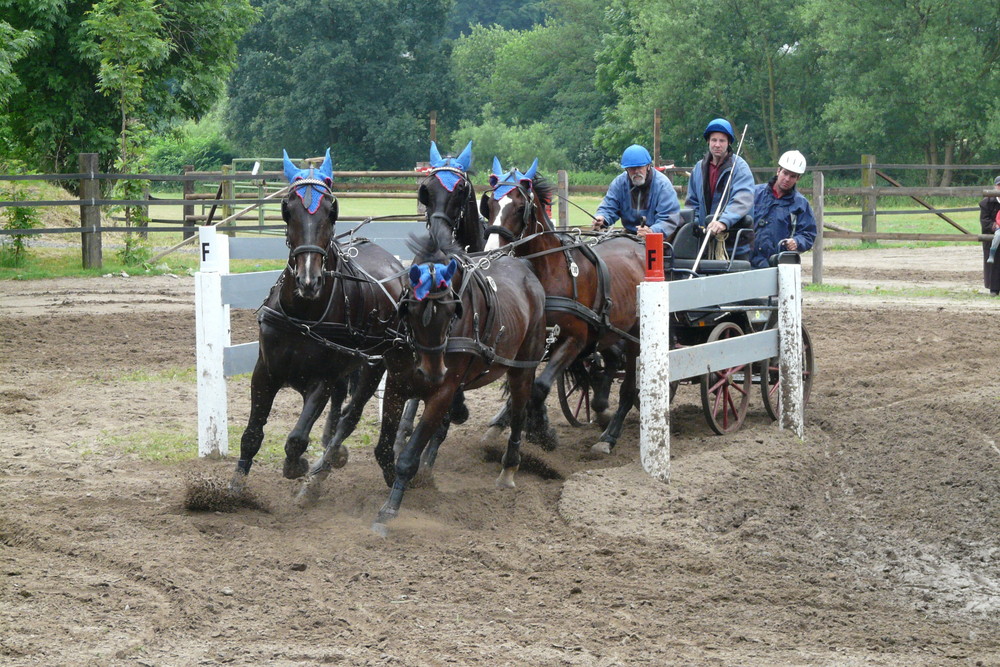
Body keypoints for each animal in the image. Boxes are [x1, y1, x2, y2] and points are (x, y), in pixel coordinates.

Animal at [232, 150, 408, 496]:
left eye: (331, 210)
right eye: (287, 210)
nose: (309, 280)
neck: (303, 315)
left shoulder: (320, 381)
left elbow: (297, 439)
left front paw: (297, 465)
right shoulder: (265, 373)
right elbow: (252, 435)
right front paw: (232, 487)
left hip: (374, 363)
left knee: (350, 415)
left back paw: (328, 459)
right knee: (341, 403)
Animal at [374, 227, 548, 536]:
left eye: (452, 311)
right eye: (410, 309)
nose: (432, 372)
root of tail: (525, 267)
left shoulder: (442, 392)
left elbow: (408, 456)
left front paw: (390, 509)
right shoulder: (397, 383)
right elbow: (384, 447)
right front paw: (394, 476)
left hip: (523, 367)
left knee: (518, 412)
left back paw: (508, 469)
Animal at [484, 159, 648, 456]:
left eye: (519, 207)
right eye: (489, 205)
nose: (492, 252)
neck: (551, 270)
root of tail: (638, 242)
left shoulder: (574, 339)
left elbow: (538, 387)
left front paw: (542, 432)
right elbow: (522, 388)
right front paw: (514, 422)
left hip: (635, 336)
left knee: (629, 387)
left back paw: (609, 435)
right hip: (607, 331)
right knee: (611, 361)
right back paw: (600, 409)